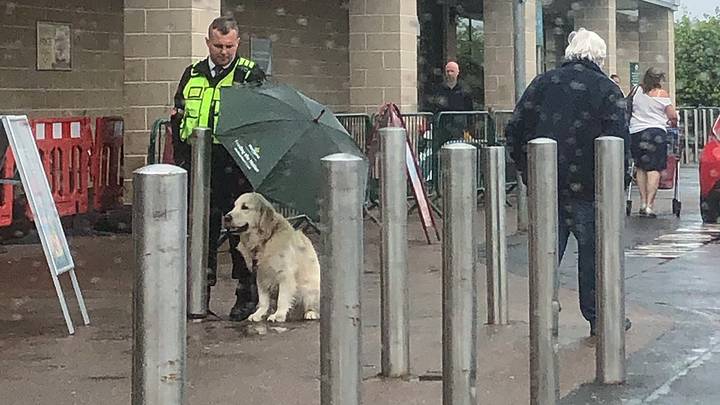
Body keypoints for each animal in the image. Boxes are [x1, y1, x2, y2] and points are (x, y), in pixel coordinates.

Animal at [222, 193, 318, 322]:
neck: (265, 240)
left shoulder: (285, 274)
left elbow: (282, 298)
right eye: (234, 206)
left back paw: (311, 313)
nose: (226, 217)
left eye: (245, 207)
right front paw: (259, 314)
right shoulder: (260, 274)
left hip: (309, 288)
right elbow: (263, 299)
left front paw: (278, 315)